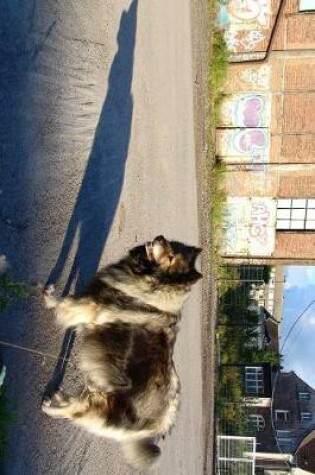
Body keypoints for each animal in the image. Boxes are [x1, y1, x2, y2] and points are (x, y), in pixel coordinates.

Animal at [41, 236, 202, 470]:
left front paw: (48, 297)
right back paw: (59, 399)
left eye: (171, 256)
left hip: (104, 406)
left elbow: (66, 302)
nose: (159, 238)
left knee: (78, 411)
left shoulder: (89, 306)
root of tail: (162, 424)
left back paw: (50, 408)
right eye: (170, 246)